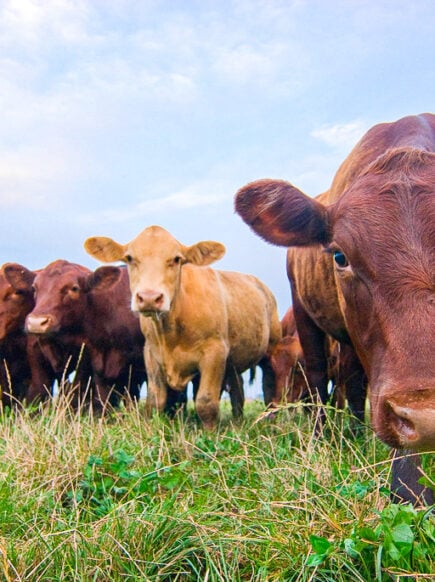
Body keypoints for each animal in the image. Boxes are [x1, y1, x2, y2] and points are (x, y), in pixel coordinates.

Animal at [84, 224, 282, 428]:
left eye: (176, 259)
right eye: (130, 258)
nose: (149, 297)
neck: (171, 331)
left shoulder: (215, 352)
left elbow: (206, 402)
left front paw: (210, 433)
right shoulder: (151, 353)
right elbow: (155, 401)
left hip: (272, 348)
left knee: (269, 385)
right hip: (234, 361)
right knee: (238, 389)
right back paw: (238, 421)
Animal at [237, 114, 435, 506]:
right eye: (340, 256)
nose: (427, 416)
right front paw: (411, 487)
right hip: (305, 313)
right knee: (320, 378)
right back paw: (324, 436)